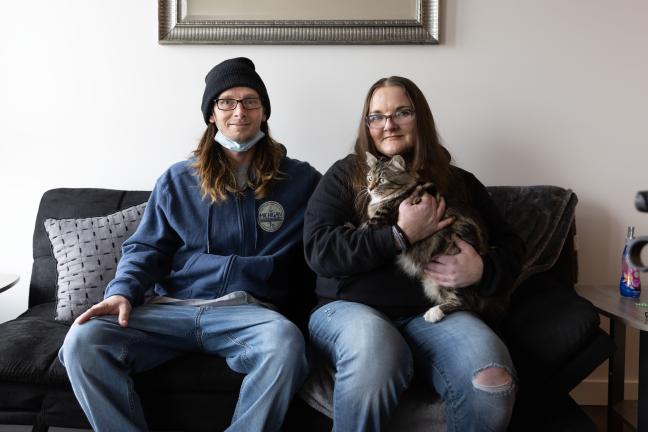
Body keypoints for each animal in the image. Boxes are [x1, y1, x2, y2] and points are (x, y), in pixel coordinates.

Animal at [362, 154, 498, 322]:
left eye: (381, 180)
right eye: (369, 178)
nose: (370, 188)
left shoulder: (380, 220)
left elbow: (361, 227)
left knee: (467, 303)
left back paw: (434, 313)